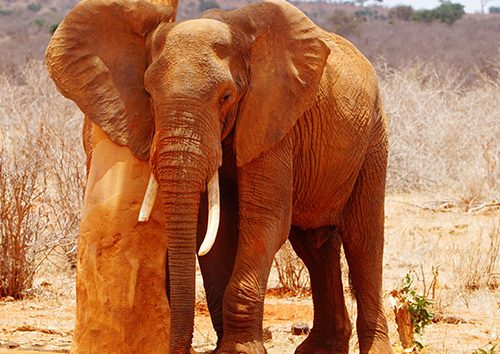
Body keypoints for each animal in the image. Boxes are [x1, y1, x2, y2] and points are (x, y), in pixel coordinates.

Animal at [46, 0, 390, 352]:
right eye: (149, 95)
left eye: (226, 97)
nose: (180, 347)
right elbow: (215, 232)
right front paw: (229, 346)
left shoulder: (273, 118)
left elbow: (265, 220)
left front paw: (239, 350)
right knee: (314, 245)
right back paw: (319, 348)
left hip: (373, 140)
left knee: (363, 240)